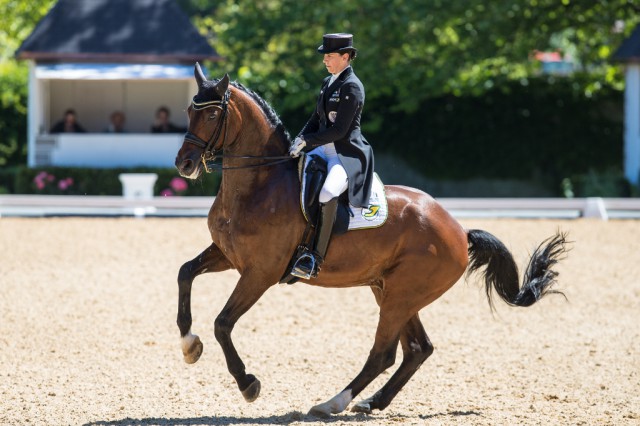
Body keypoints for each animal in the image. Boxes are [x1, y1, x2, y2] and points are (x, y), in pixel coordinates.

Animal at [172, 64, 568, 420]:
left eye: (212, 115)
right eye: (190, 111)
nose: (184, 164)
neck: (260, 183)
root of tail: (459, 230)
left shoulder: (261, 273)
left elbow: (223, 323)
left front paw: (248, 384)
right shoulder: (227, 255)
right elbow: (185, 273)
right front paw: (189, 345)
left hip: (400, 295)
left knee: (384, 353)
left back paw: (333, 403)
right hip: (392, 290)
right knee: (417, 349)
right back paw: (371, 402)